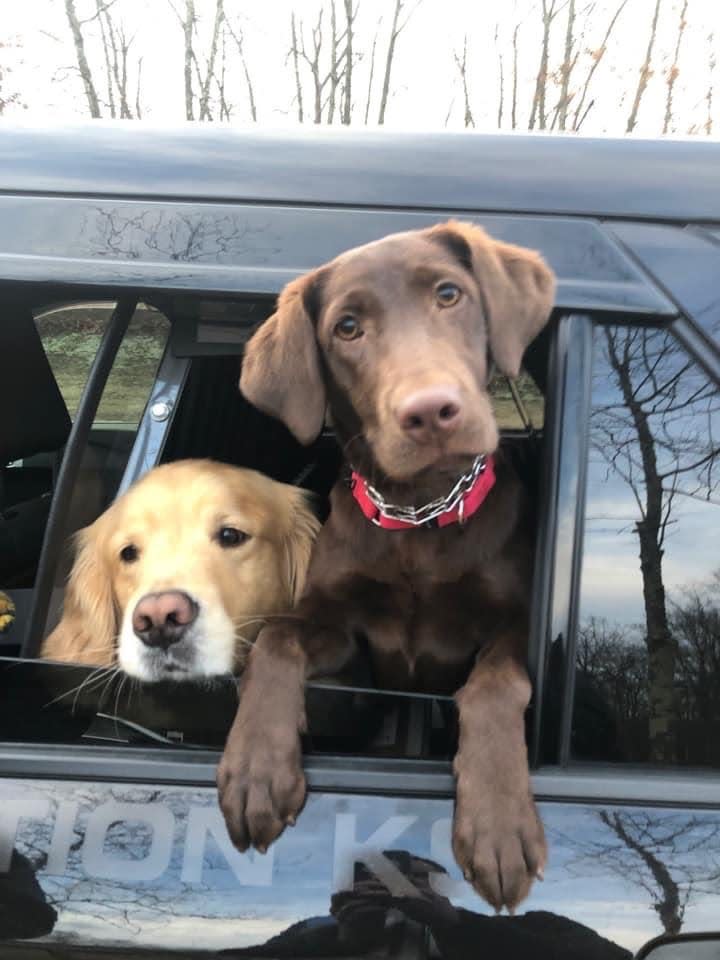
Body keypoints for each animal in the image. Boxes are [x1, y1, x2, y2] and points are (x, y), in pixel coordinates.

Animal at [219, 221, 556, 912]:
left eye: (450, 294)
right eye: (347, 328)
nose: (430, 412)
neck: (420, 514)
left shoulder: (510, 622)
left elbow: (495, 682)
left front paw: (498, 823)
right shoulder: (345, 634)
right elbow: (277, 638)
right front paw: (255, 768)